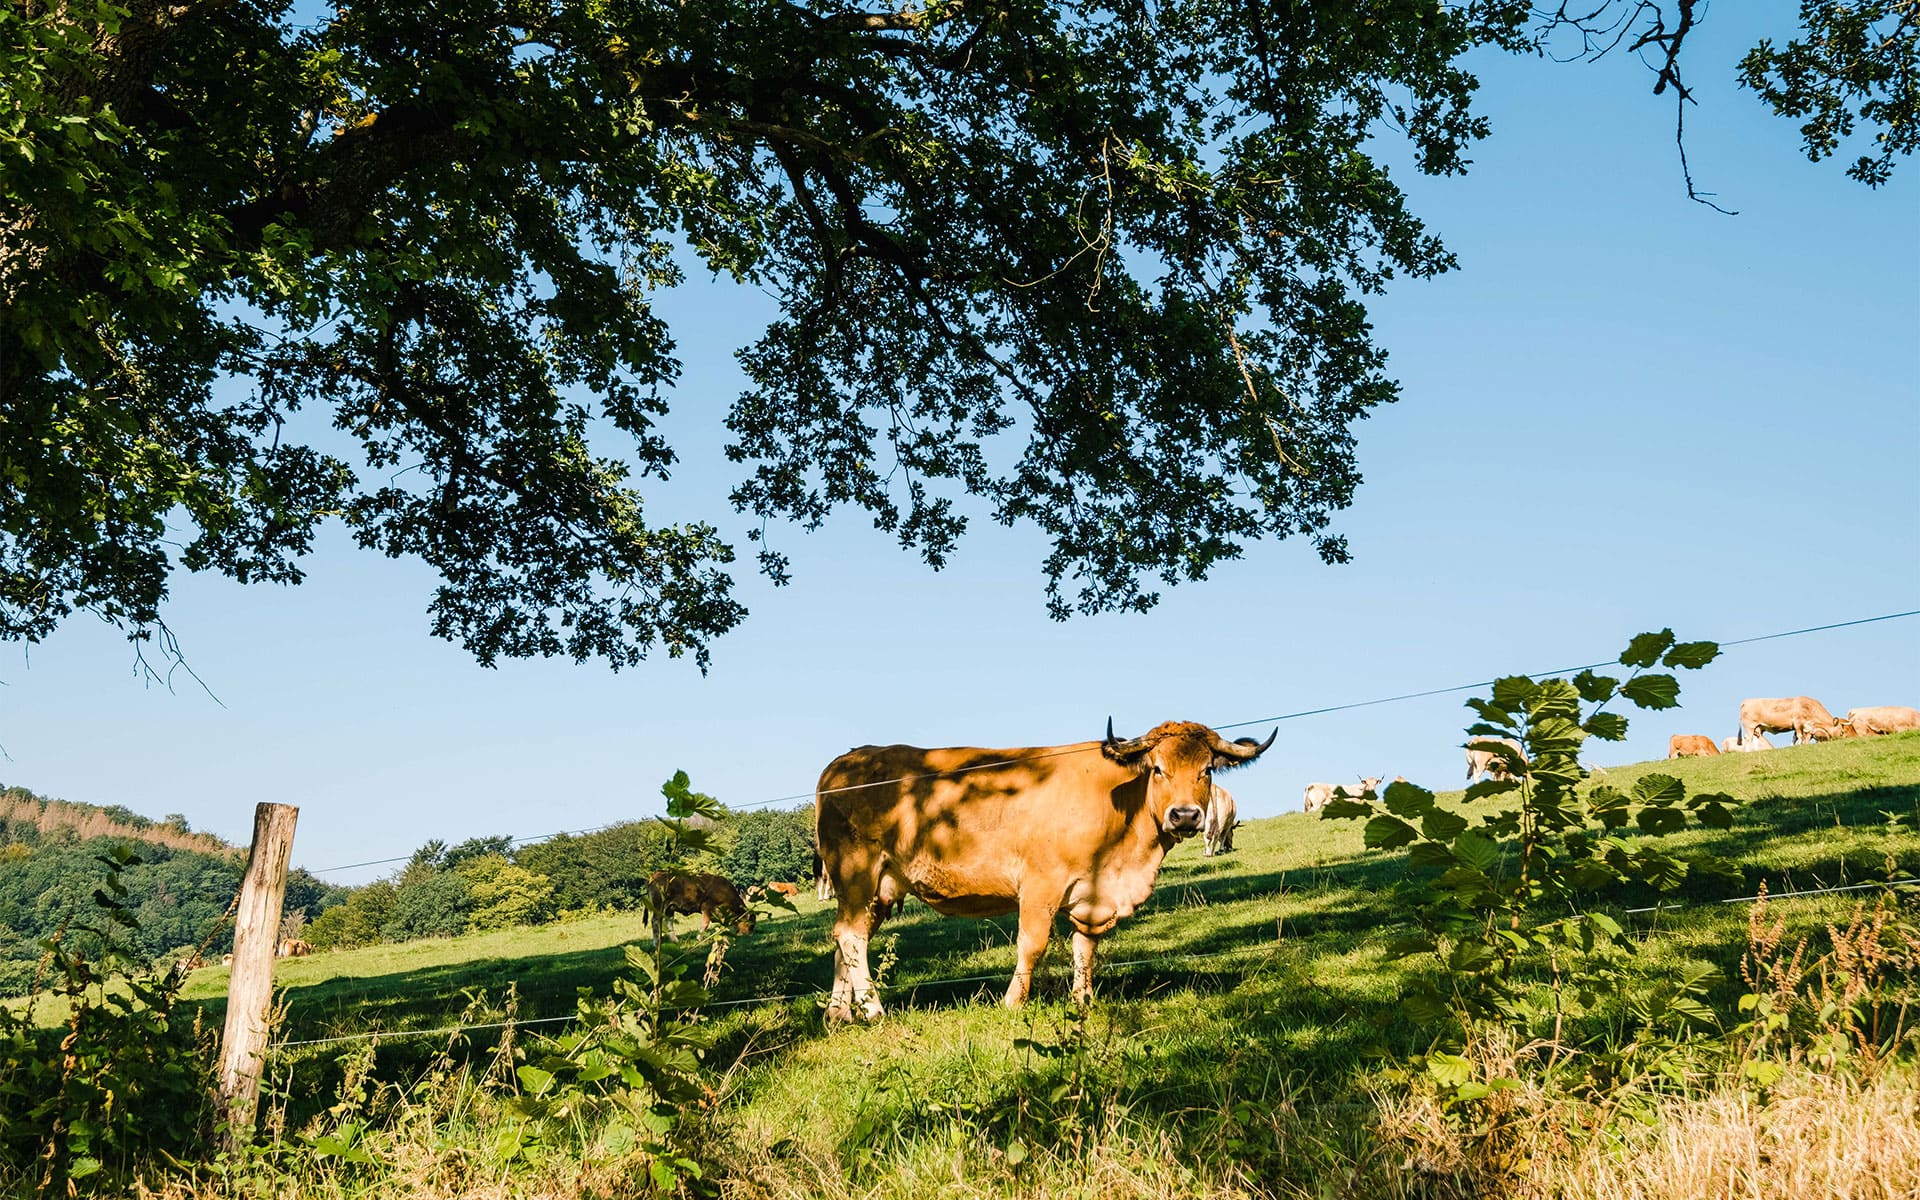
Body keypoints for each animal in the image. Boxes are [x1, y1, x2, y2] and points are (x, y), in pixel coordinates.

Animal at [814, 714, 1274, 1021]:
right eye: (1158, 769)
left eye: (1207, 769)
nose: (1185, 816)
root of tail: (846, 761)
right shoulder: (1040, 884)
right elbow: (1031, 945)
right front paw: (1013, 1001)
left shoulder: (1091, 896)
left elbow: (1084, 949)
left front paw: (1082, 1001)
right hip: (856, 872)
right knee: (851, 936)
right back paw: (872, 1009)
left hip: (878, 887)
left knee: (845, 938)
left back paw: (839, 1014)